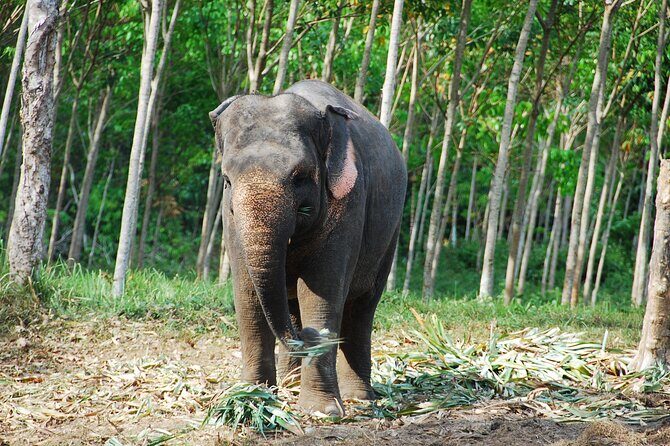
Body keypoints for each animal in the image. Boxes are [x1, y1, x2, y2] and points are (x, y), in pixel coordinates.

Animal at [209, 79, 407, 416]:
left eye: (300, 176)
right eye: (226, 180)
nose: (304, 338)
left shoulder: (348, 203)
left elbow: (319, 291)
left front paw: (322, 411)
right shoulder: (230, 217)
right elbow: (247, 293)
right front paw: (250, 397)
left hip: (390, 232)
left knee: (362, 309)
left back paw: (360, 398)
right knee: (292, 304)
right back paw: (292, 383)